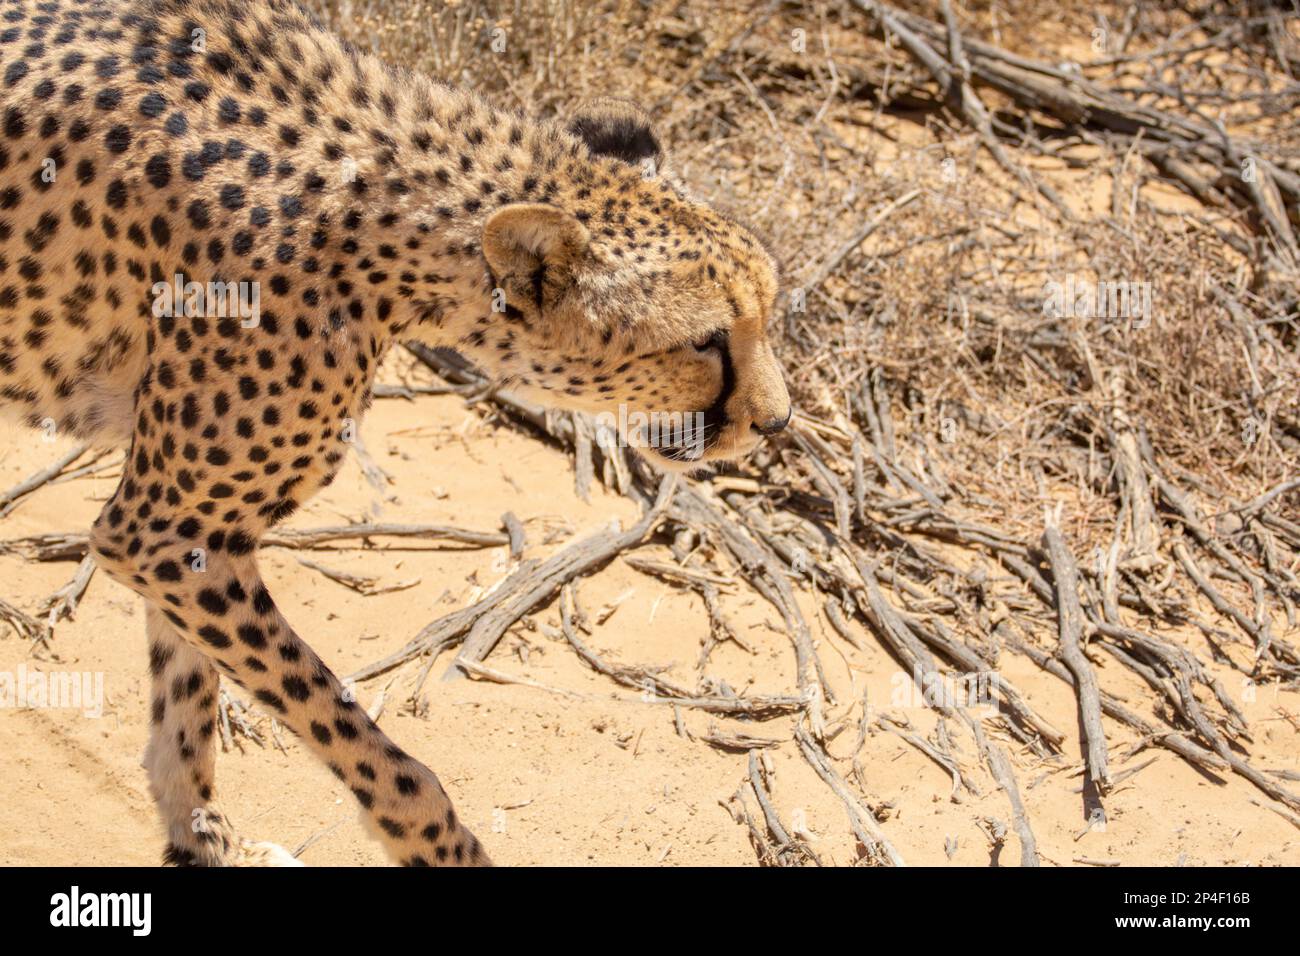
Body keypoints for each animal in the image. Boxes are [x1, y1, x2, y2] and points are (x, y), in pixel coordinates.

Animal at [2, 0, 790, 868]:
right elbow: (355, 736)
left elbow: (185, 693)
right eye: (705, 341)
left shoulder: (180, 536)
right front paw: (440, 845)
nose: (778, 420)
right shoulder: (165, 532)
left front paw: (195, 828)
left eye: (766, 311)